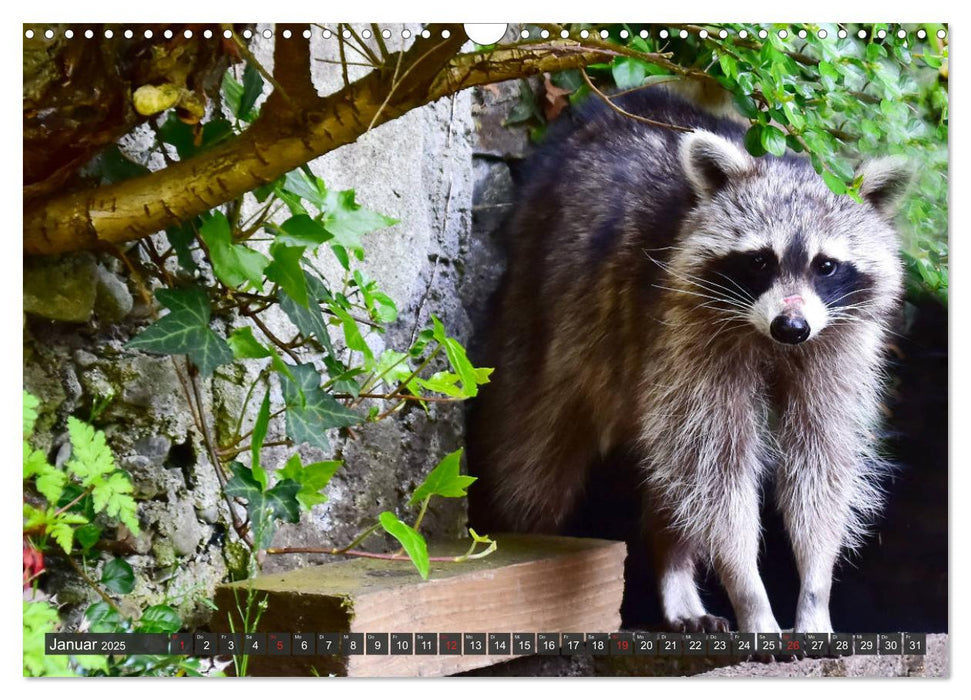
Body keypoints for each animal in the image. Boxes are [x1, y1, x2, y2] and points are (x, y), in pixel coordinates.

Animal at [470, 89, 912, 636]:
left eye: (825, 265)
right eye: (759, 260)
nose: (790, 327)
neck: (768, 338)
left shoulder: (836, 341)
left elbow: (820, 459)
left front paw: (815, 591)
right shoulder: (687, 330)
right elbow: (717, 469)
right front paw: (751, 595)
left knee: (671, 476)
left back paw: (675, 574)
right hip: (541, 307)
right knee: (534, 456)